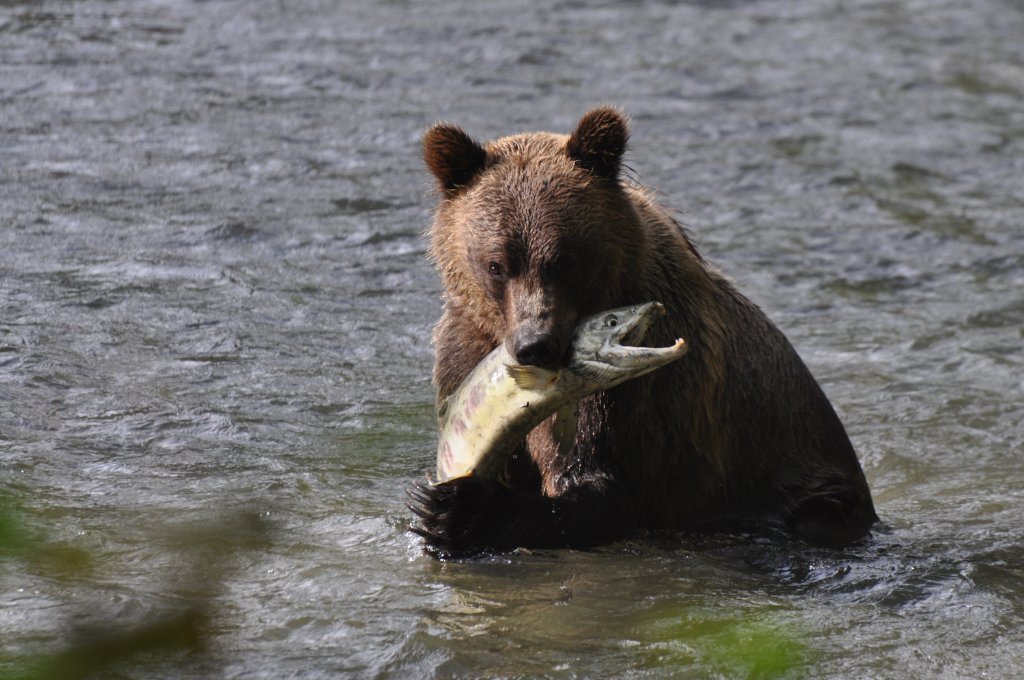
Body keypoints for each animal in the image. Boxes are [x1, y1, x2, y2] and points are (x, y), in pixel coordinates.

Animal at [409, 107, 880, 557]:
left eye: (566, 258)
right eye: (496, 264)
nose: (534, 345)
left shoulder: (644, 397)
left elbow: (604, 485)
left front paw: (456, 509)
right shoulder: (466, 352)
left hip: (808, 482)